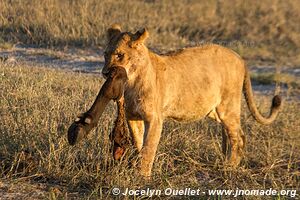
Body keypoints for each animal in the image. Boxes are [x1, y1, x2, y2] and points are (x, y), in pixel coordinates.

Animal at [67, 24, 282, 179]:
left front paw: (142, 176)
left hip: (227, 107)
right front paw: (137, 165)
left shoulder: (155, 119)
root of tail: (241, 59)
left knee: (239, 135)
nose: (105, 73)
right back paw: (224, 159)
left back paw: (229, 167)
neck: (131, 81)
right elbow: (139, 143)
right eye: (105, 55)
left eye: (119, 55)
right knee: (230, 133)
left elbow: (149, 147)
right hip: (214, 111)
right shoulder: (132, 117)